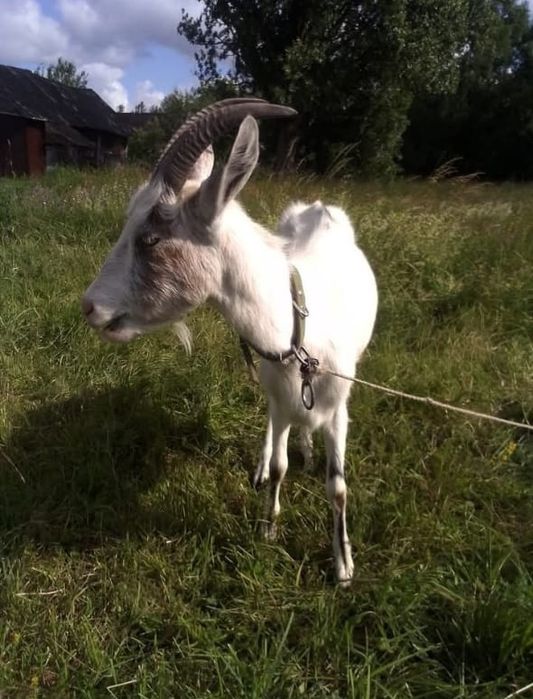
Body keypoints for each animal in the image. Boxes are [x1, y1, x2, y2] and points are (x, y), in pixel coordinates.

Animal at [81, 99, 378, 585]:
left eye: (151, 237)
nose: (89, 306)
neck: (298, 327)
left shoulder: (340, 405)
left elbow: (338, 488)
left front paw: (343, 565)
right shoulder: (278, 391)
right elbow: (279, 464)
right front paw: (268, 525)